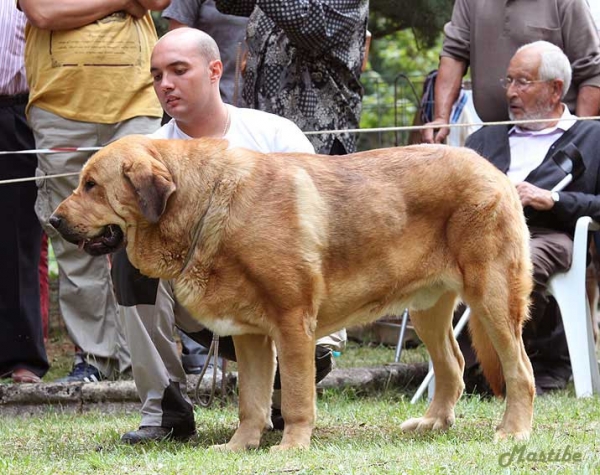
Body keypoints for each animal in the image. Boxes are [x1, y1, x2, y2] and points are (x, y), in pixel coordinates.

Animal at [50, 136, 536, 452]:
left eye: (91, 185)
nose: (53, 220)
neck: (204, 205)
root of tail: (493, 170)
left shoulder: (292, 323)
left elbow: (299, 394)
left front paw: (290, 447)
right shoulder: (250, 335)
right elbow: (251, 401)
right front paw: (238, 448)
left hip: (493, 298)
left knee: (520, 371)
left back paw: (513, 431)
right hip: (427, 308)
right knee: (452, 364)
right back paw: (433, 423)